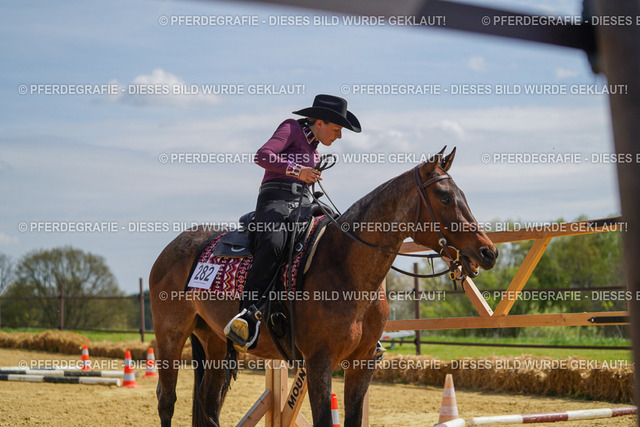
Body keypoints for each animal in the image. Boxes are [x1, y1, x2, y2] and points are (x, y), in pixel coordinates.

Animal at [149, 147, 498, 426]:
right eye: (445, 196)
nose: (488, 252)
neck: (347, 266)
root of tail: (172, 248)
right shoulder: (319, 363)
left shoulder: (361, 364)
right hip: (170, 337)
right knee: (167, 401)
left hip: (214, 341)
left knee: (208, 404)